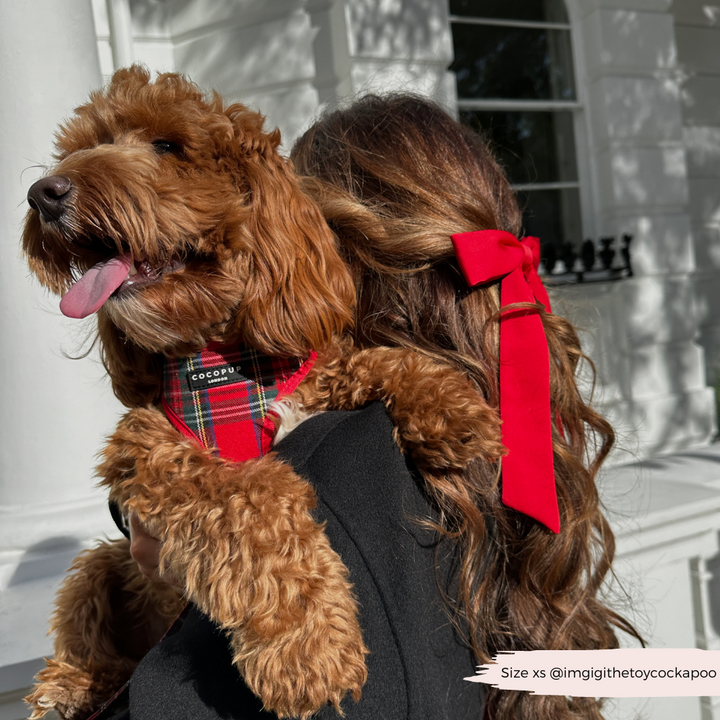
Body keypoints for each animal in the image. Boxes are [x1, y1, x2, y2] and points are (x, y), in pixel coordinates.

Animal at [22, 67, 506, 720]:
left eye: (167, 146)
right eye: (81, 147)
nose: (43, 193)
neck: (222, 364)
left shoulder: (315, 381)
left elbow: (373, 360)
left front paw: (453, 409)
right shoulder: (147, 449)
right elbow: (250, 497)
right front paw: (308, 646)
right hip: (103, 565)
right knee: (83, 620)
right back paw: (70, 686)